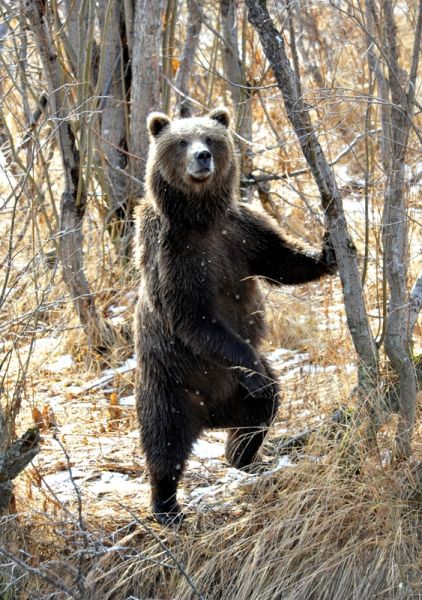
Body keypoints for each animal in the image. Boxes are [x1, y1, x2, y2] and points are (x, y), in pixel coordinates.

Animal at [135, 108, 336, 524]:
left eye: (211, 138)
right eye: (181, 141)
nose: (202, 156)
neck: (199, 218)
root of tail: (210, 416)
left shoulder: (241, 232)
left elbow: (281, 260)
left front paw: (327, 249)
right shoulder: (173, 253)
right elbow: (194, 316)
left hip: (234, 388)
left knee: (264, 406)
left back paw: (243, 455)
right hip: (171, 383)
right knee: (164, 442)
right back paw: (167, 507)